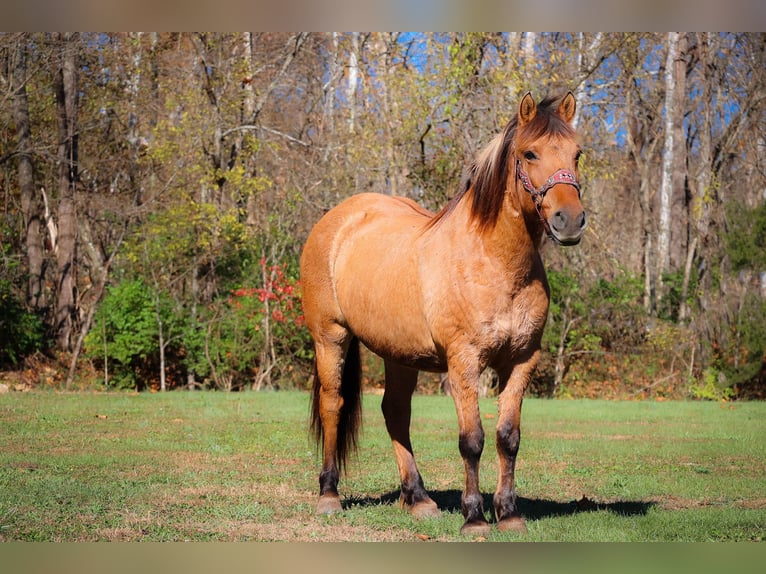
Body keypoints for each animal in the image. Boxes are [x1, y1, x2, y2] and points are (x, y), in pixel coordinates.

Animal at [300, 92, 586, 536]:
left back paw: (417, 499)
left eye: (577, 154)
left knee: (395, 413)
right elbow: (472, 440)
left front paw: (509, 514)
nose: (569, 221)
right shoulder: (463, 363)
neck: (493, 261)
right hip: (330, 337)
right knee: (334, 404)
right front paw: (474, 518)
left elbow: (508, 437)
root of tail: (337, 220)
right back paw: (329, 495)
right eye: (530, 153)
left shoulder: (522, 361)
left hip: (399, 354)